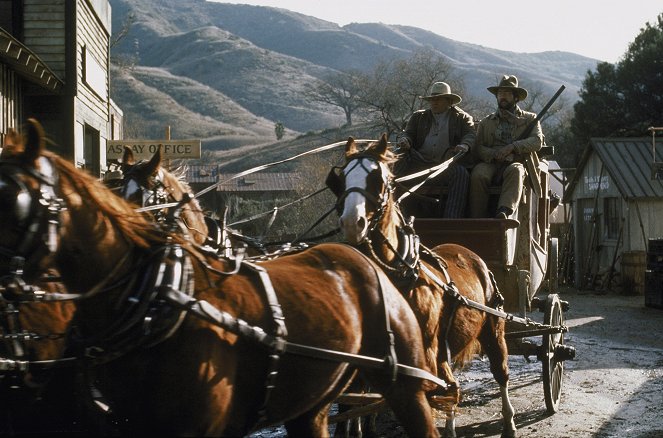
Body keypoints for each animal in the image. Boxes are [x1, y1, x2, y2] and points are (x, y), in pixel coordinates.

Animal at [330, 135, 516, 436]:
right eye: (343, 178)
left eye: (377, 178)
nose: (350, 222)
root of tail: (471, 253)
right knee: (451, 383)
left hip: (492, 329)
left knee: (499, 373)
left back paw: (508, 422)